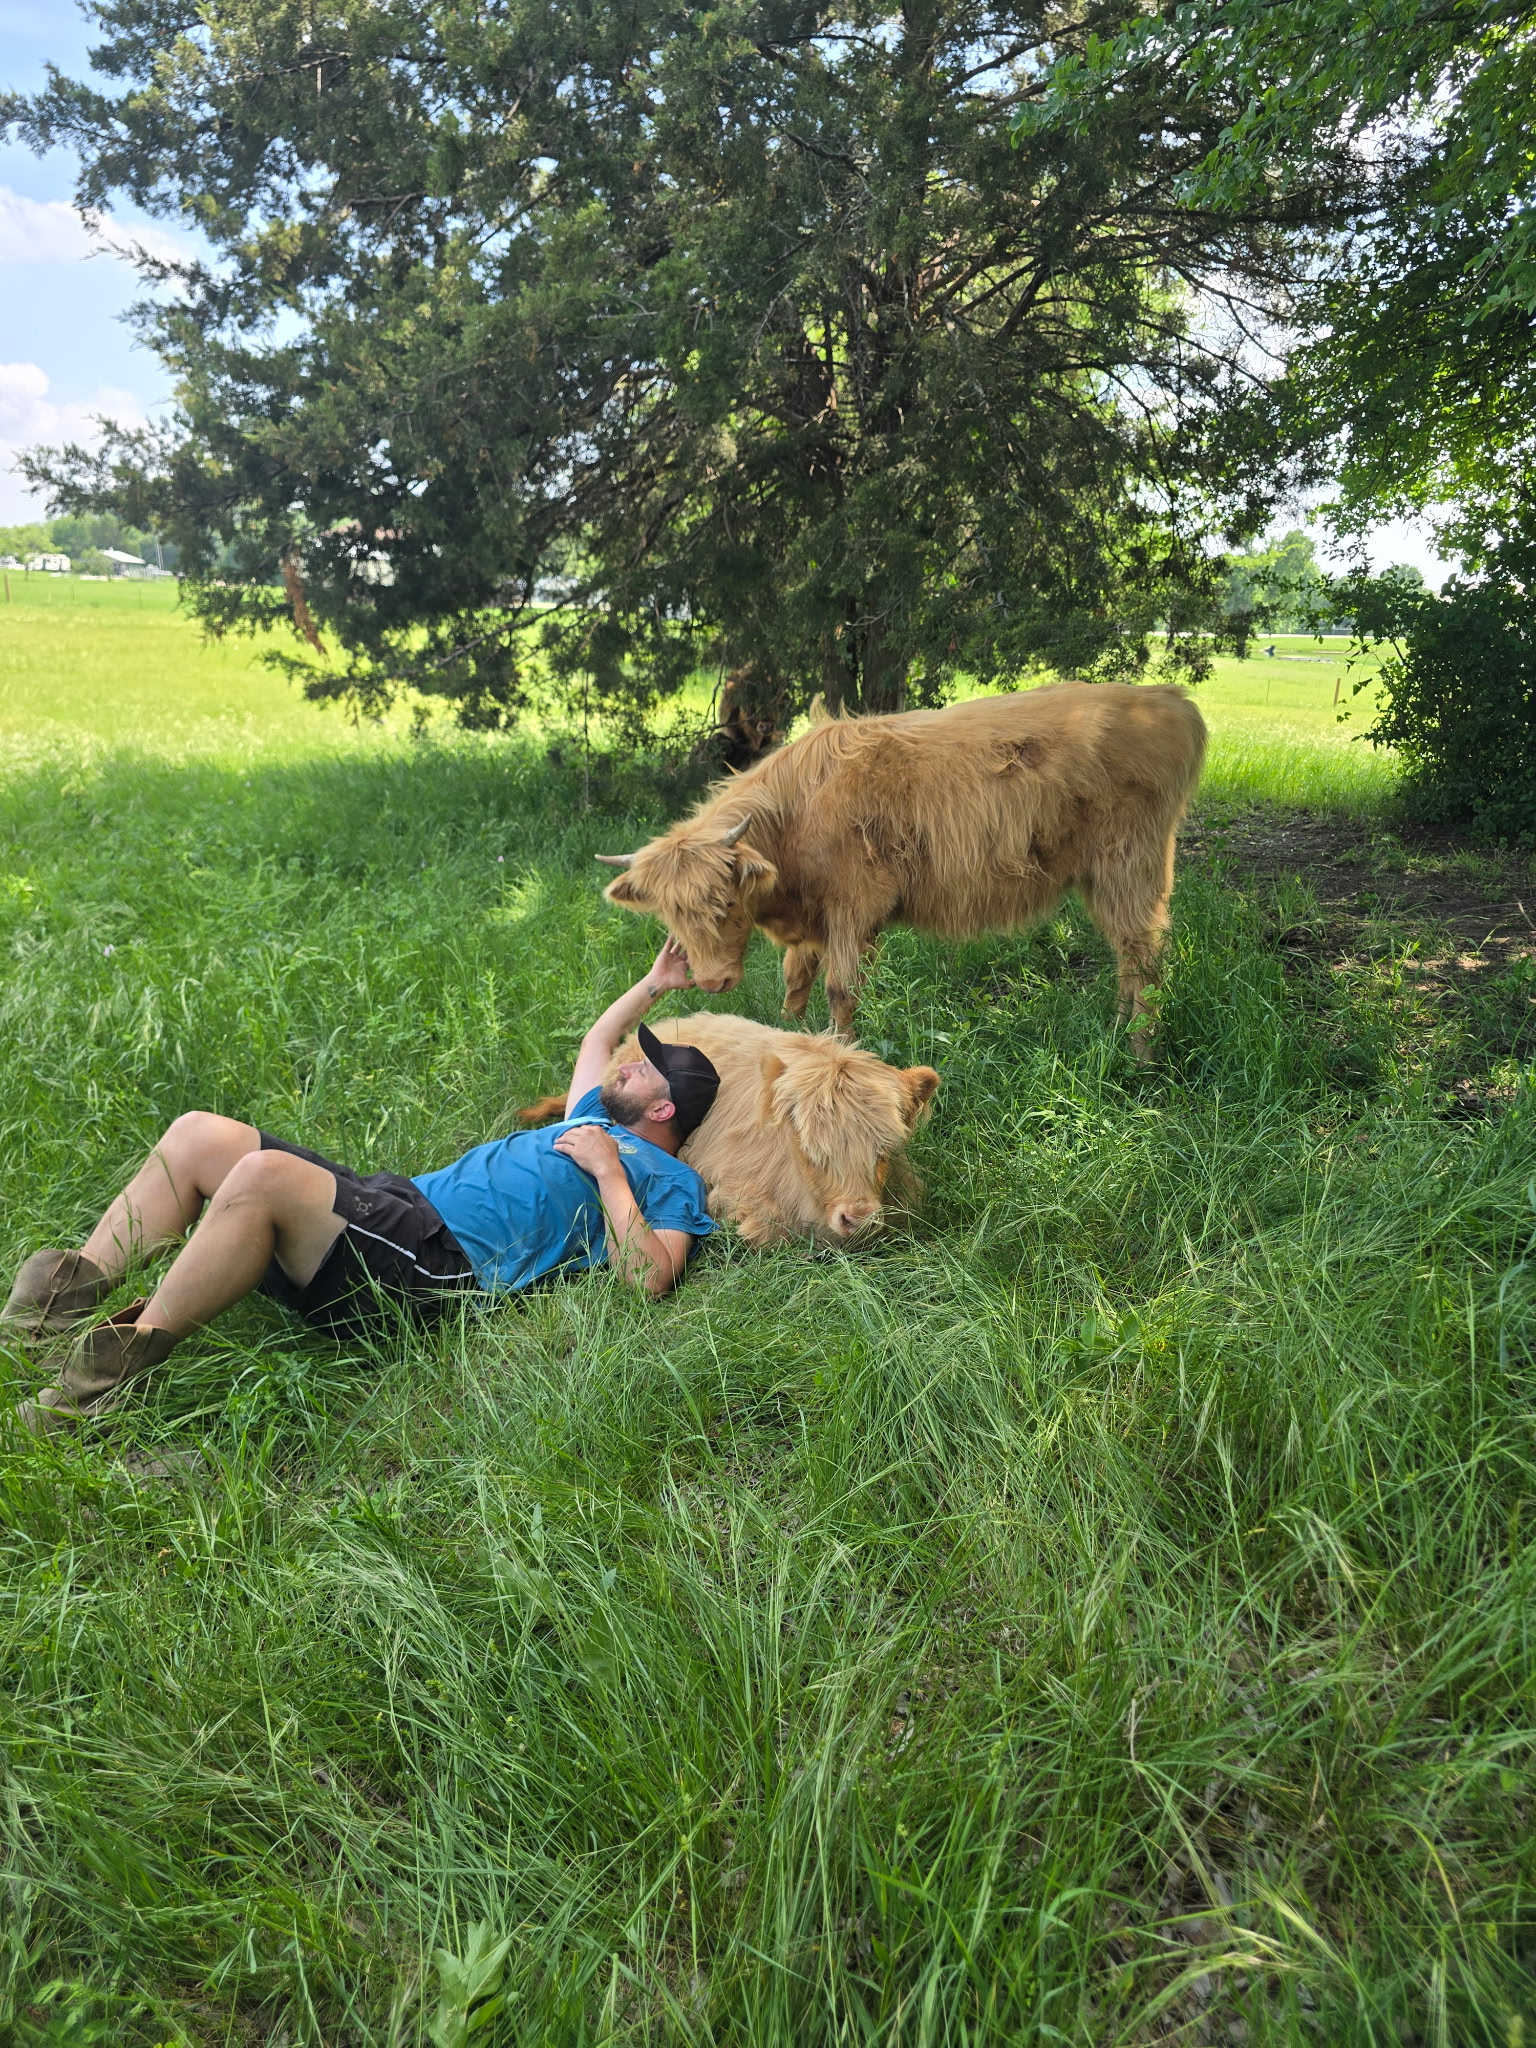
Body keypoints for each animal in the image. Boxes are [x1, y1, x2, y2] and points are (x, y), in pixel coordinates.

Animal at [596, 683, 1207, 1048]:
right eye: (669, 917)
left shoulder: (854, 905)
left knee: (1143, 954)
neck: (795, 817)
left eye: (725, 901)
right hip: (1105, 877)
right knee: (1128, 955)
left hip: (1129, 864)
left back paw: (1137, 1051)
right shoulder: (814, 922)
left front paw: (838, 1051)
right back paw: (1118, 1032)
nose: (713, 981)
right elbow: (795, 985)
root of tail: (1166, 697)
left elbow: (840, 991)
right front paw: (788, 1039)